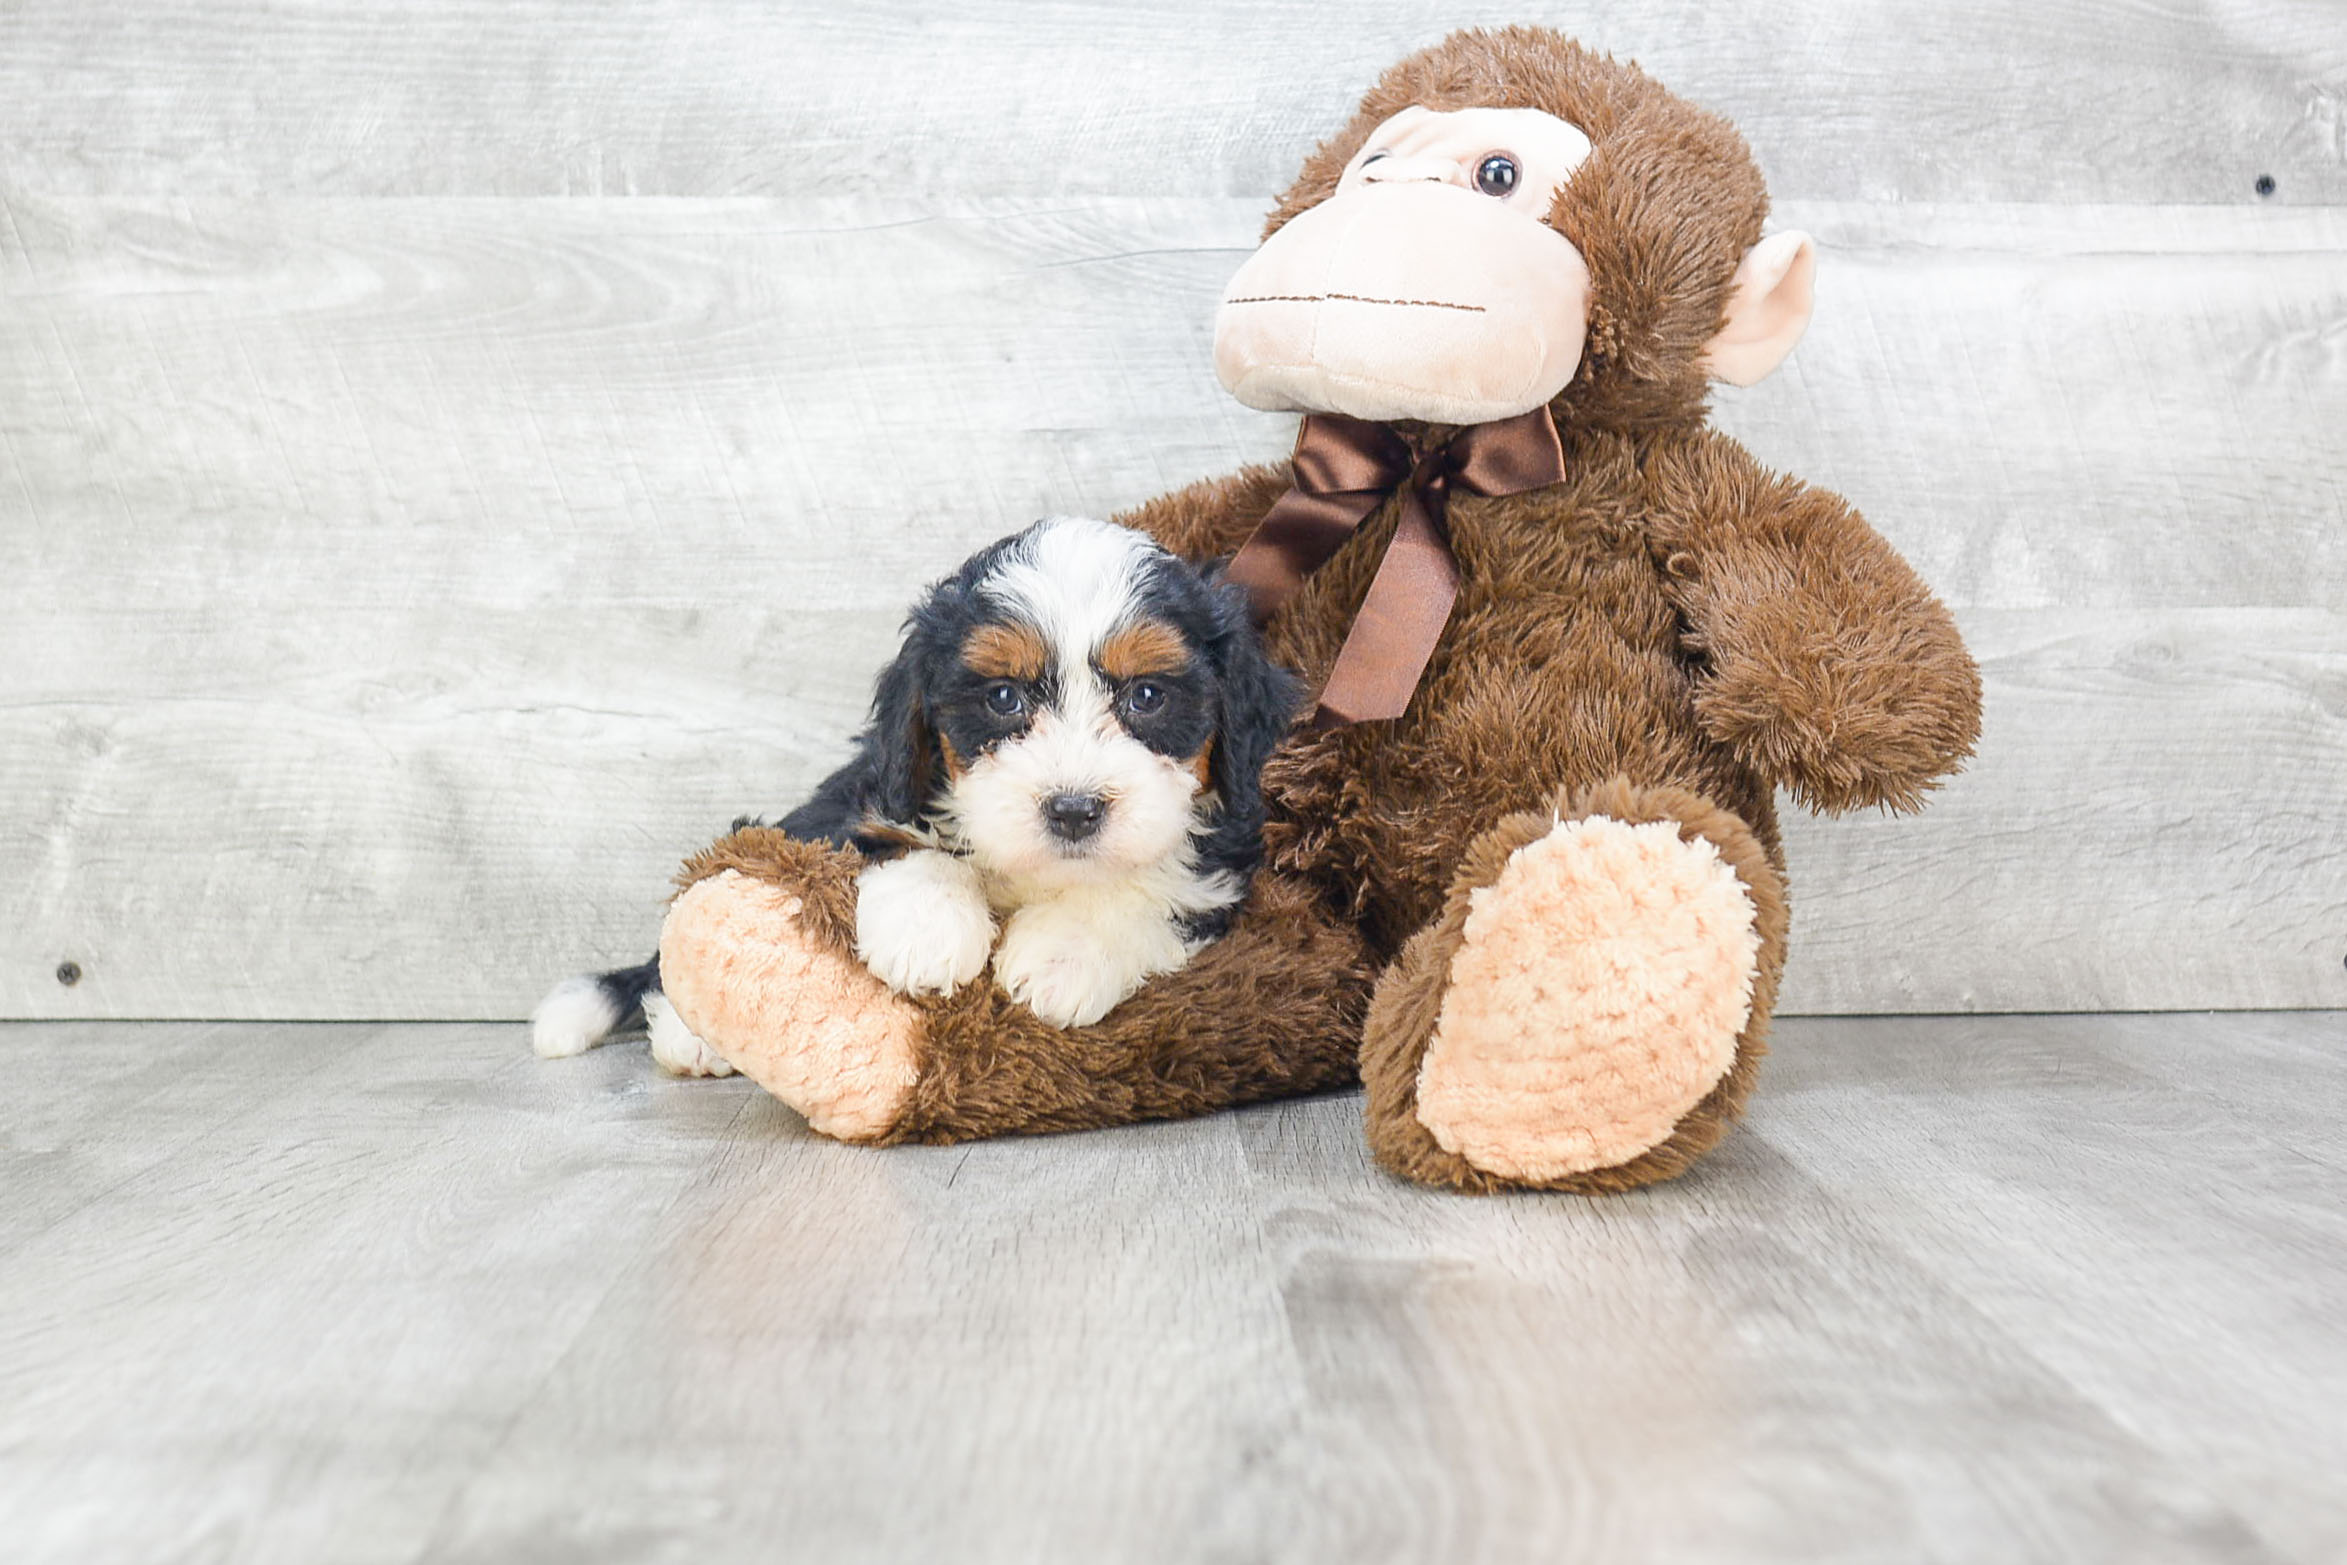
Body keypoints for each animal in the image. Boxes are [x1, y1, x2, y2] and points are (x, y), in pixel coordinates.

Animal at [535, 513, 1304, 1065]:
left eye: (1147, 696)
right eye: (1002, 697)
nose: (1073, 810)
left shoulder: (1219, 865)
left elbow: (1144, 893)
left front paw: (1062, 959)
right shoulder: (867, 798)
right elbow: (903, 844)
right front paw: (925, 933)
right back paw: (687, 1035)